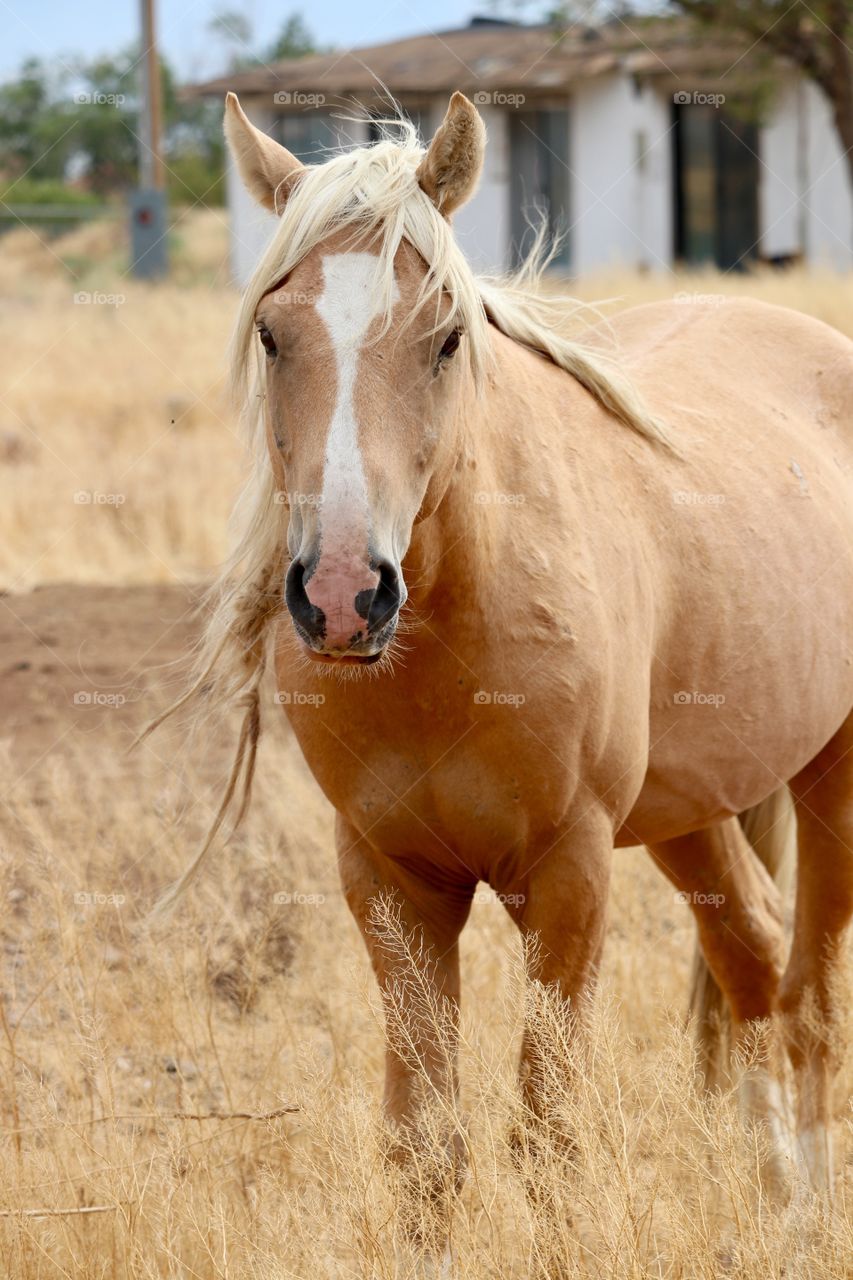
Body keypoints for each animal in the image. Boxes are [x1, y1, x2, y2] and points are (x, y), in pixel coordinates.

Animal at [175, 92, 845, 1218]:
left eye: (445, 338)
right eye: (273, 333)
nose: (345, 595)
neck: (445, 645)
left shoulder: (568, 872)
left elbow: (548, 1132)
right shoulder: (389, 879)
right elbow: (423, 1145)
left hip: (827, 775)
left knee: (814, 1001)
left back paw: (808, 1205)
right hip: (690, 807)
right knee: (751, 953)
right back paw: (773, 1189)